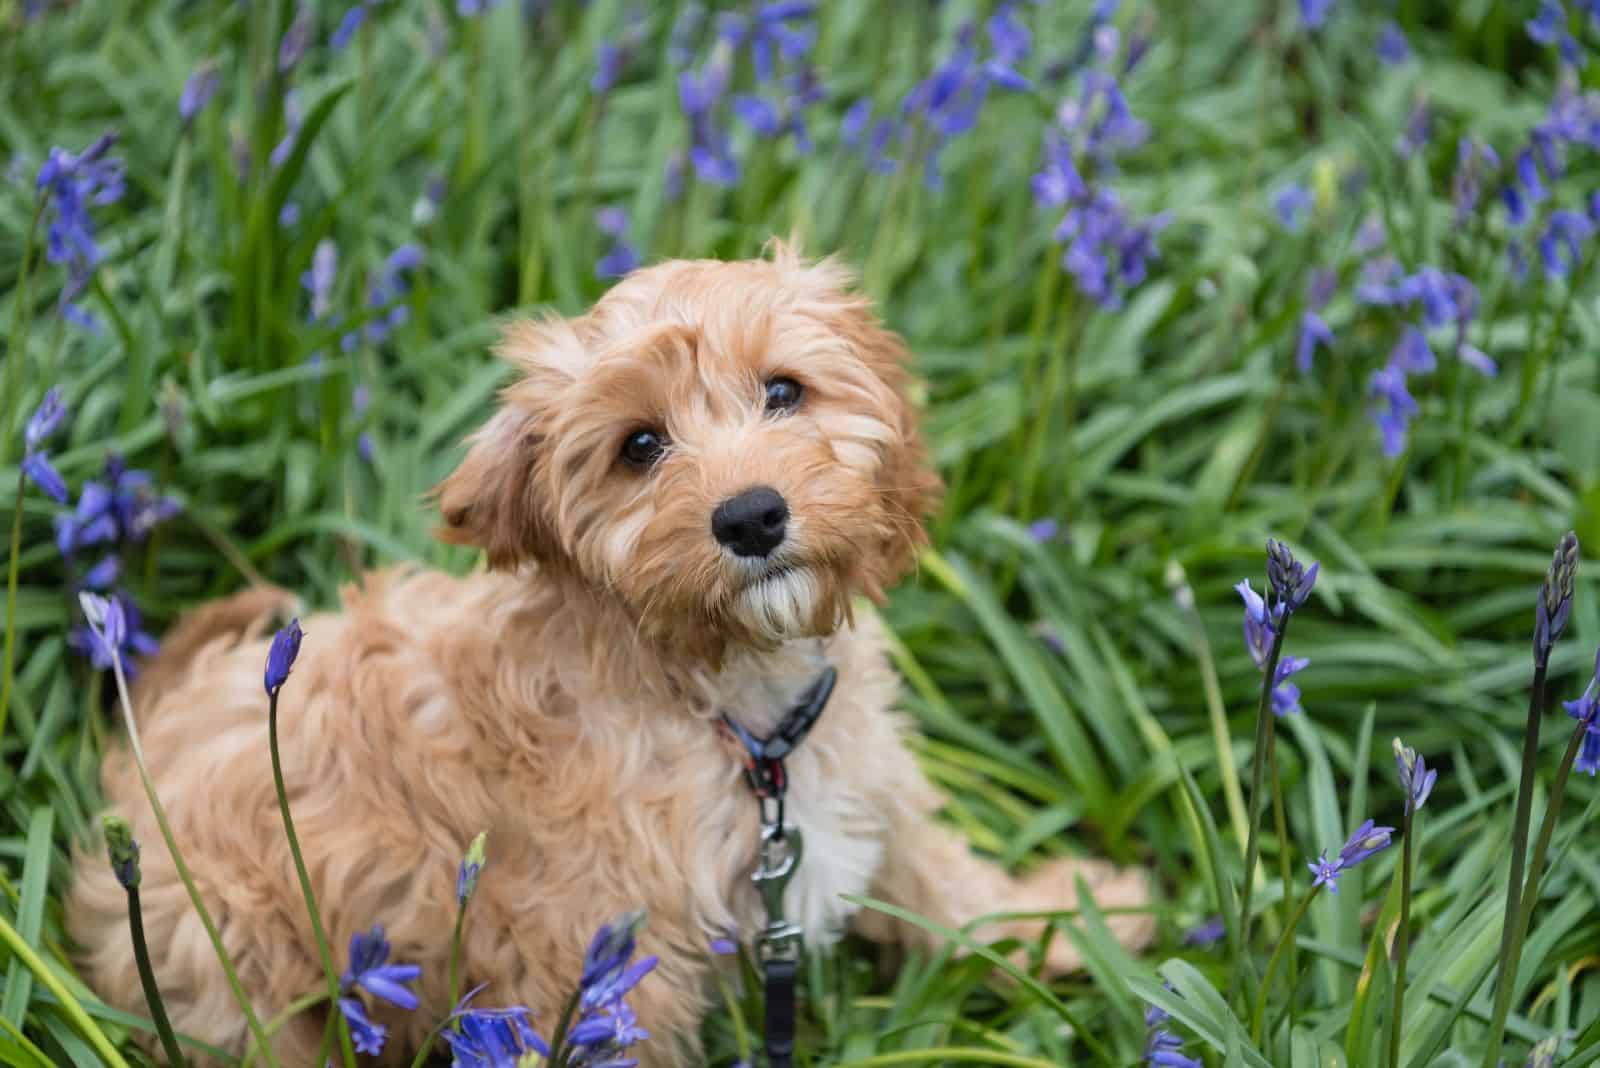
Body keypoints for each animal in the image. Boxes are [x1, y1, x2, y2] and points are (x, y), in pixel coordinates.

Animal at [68, 244, 1158, 1068]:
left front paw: (1075, 921)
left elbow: (944, 881)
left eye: (783, 392)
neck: (733, 713)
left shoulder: (861, 790)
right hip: (241, 972)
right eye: (640, 446)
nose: (751, 516)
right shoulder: (602, 967)